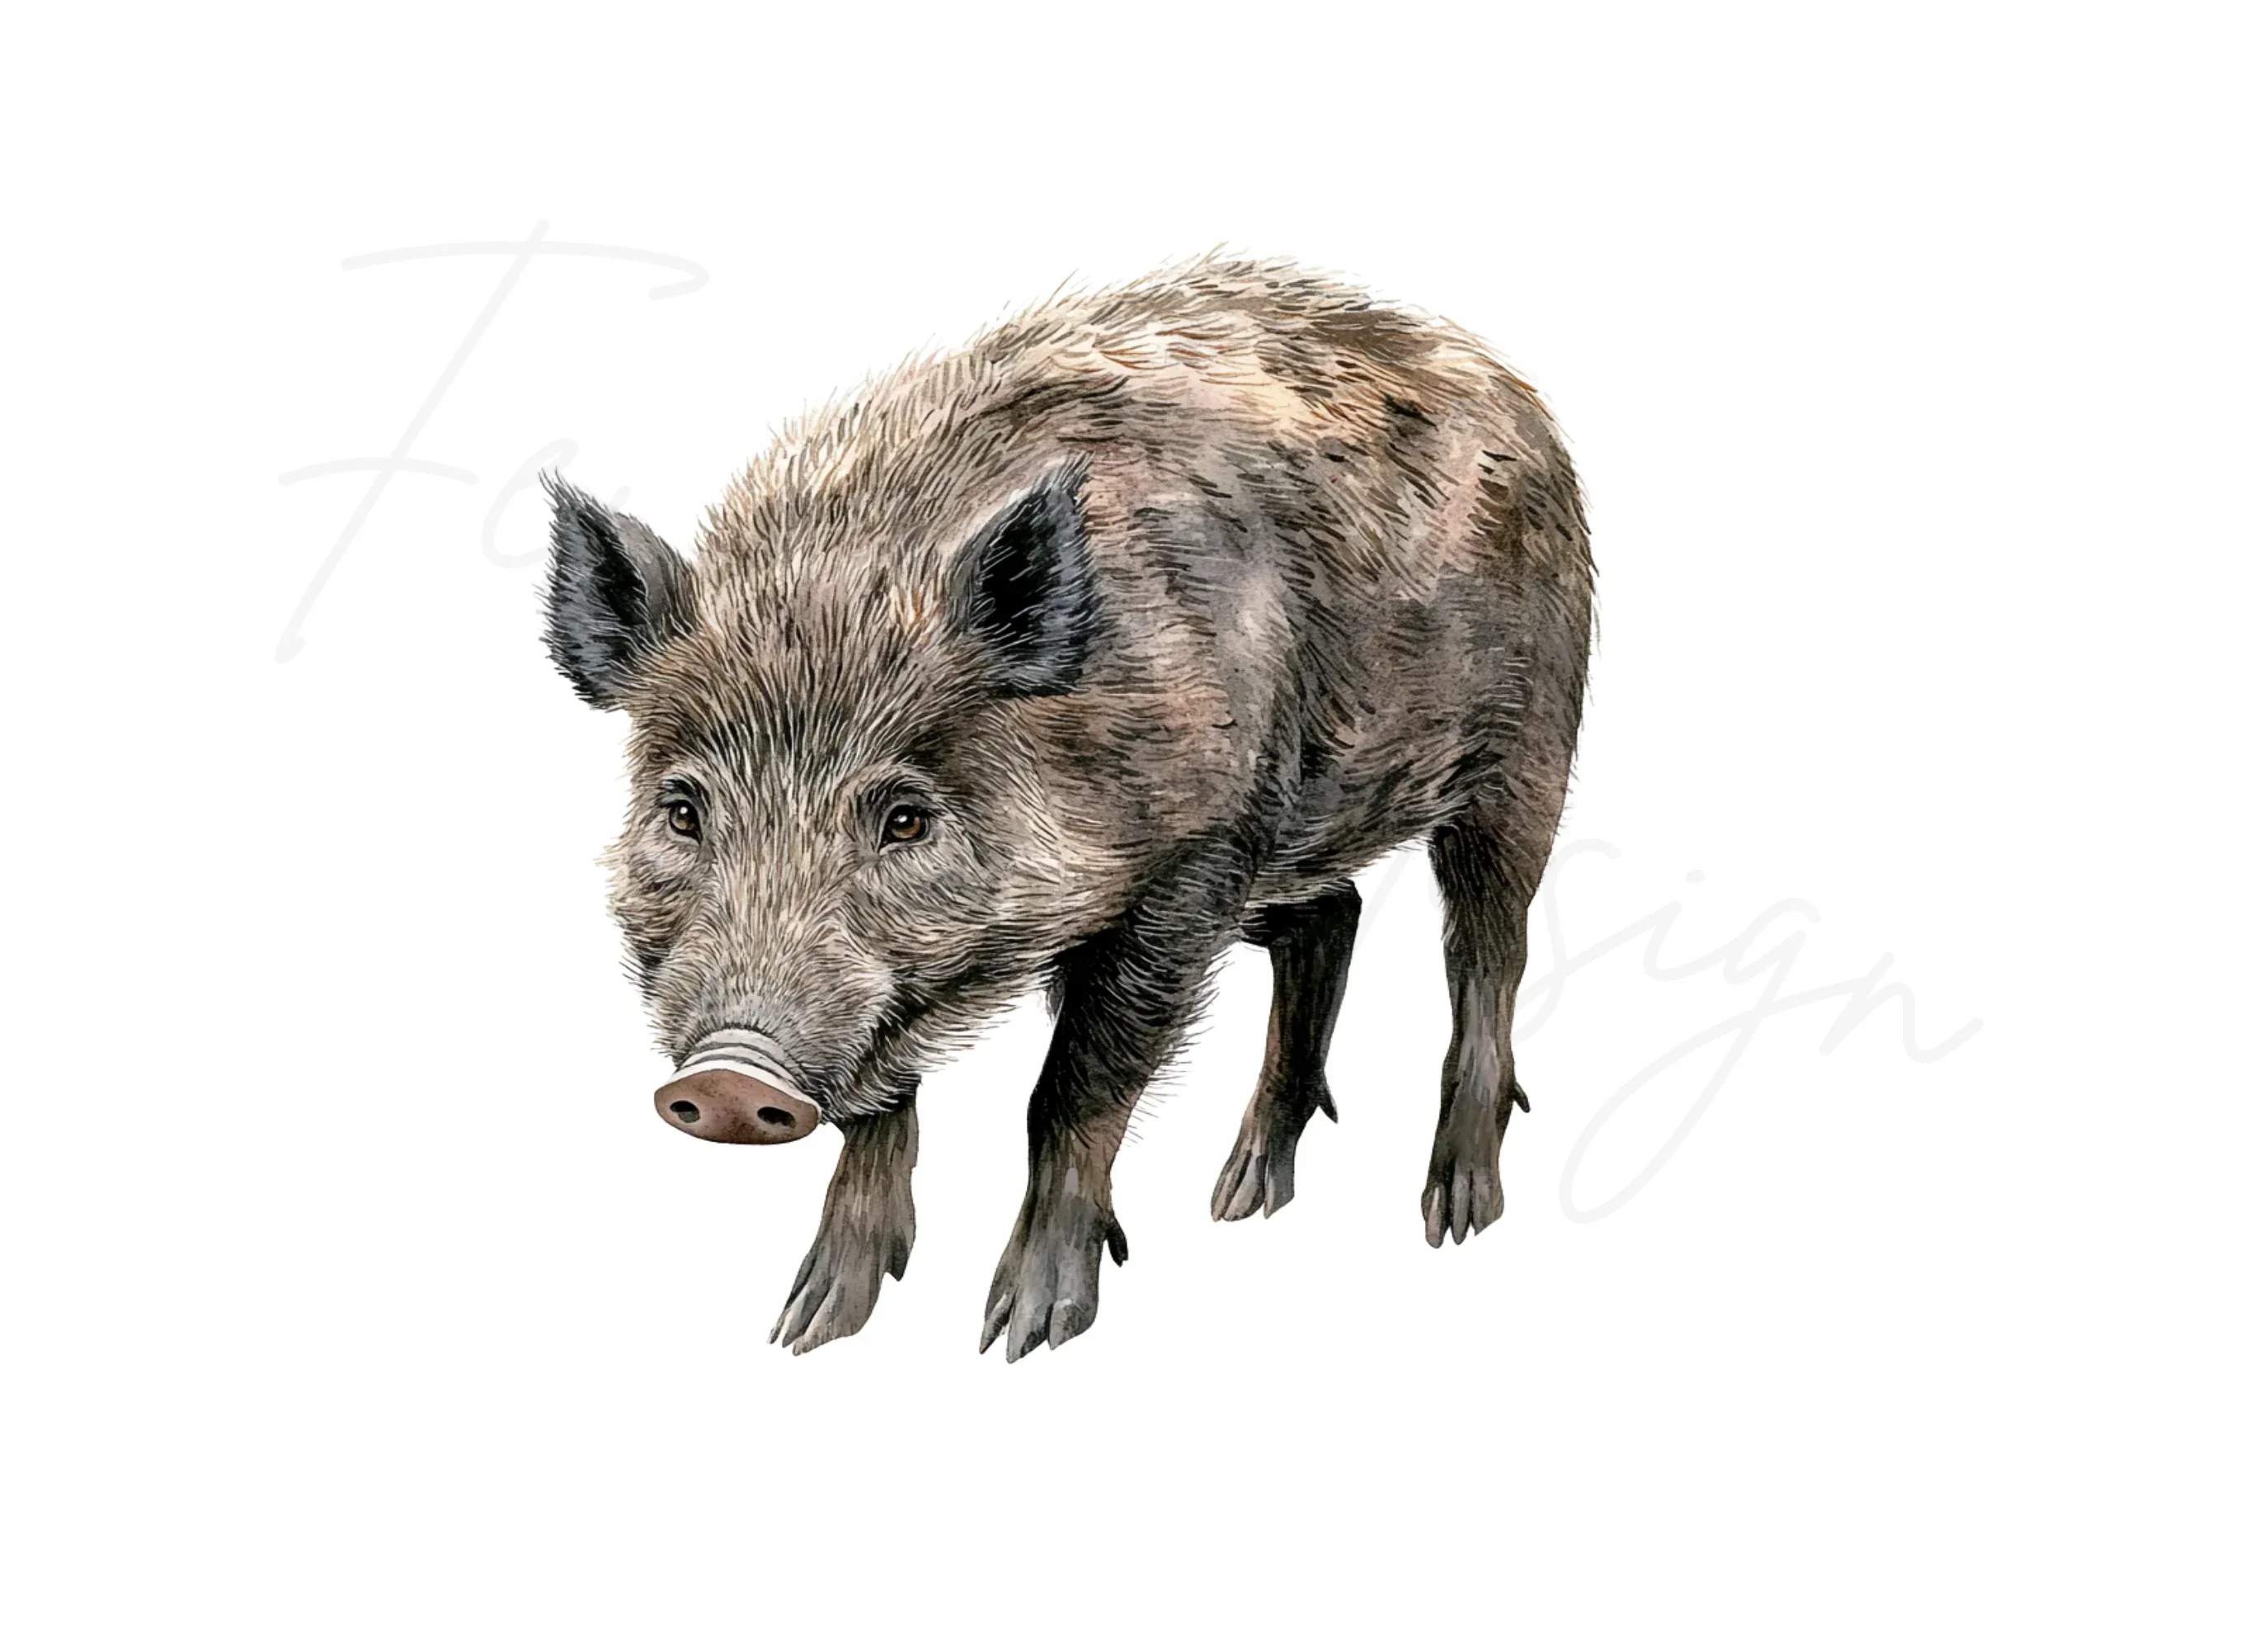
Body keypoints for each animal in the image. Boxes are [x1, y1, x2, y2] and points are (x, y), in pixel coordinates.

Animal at [541, 256, 1593, 1359]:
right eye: (683, 808)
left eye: (905, 815)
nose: (733, 1078)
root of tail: (1502, 381)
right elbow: (882, 1107)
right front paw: (811, 1325)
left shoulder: (1186, 871)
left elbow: (1071, 1091)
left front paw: (1022, 1331)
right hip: (1292, 839)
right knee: (1331, 916)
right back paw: (1239, 1199)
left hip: (1525, 754)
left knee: (1486, 950)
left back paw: (1454, 1214)